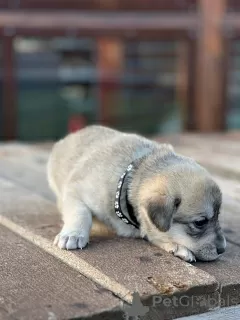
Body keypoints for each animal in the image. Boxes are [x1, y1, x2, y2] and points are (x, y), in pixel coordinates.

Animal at [47, 125, 226, 262]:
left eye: (218, 215)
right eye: (200, 222)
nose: (223, 249)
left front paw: (176, 247)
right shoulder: (74, 190)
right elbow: (80, 213)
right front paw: (73, 234)